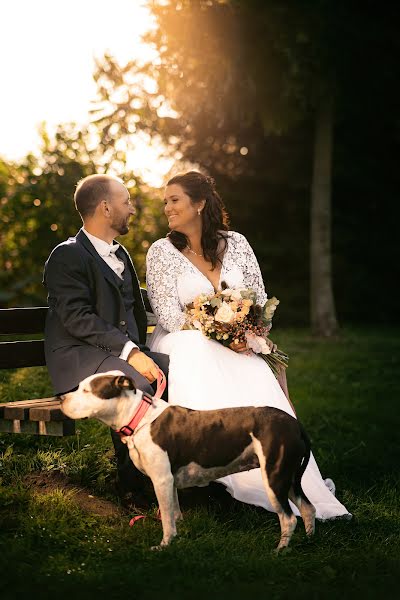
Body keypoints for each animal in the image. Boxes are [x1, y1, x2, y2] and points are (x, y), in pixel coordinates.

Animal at [60, 368, 316, 552]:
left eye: (87, 391)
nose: (60, 398)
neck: (139, 418)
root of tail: (294, 424)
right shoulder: (170, 481)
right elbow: (173, 513)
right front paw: (178, 536)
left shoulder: (161, 480)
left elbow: (166, 518)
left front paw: (163, 546)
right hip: (288, 477)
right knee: (308, 508)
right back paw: (308, 542)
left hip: (274, 477)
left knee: (288, 518)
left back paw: (279, 551)